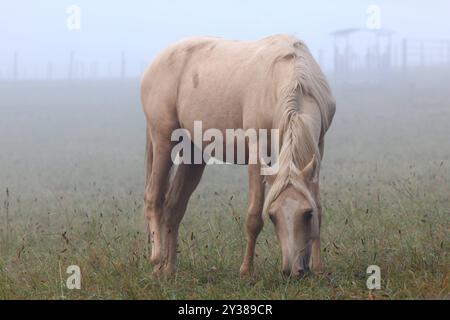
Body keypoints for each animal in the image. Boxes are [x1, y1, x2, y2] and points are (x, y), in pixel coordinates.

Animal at [140, 33, 334, 276]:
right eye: (272, 216)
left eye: (307, 214)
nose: (292, 270)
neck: (293, 78)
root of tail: (155, 63)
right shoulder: (257, 153)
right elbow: (253, 217)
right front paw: (246, 271)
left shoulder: (318, 149)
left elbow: (319, 206)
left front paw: (318, 268)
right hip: (163, 140)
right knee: (153, 198)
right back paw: (157, 261)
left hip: (194, 153)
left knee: (173, 206)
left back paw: (169, 270)